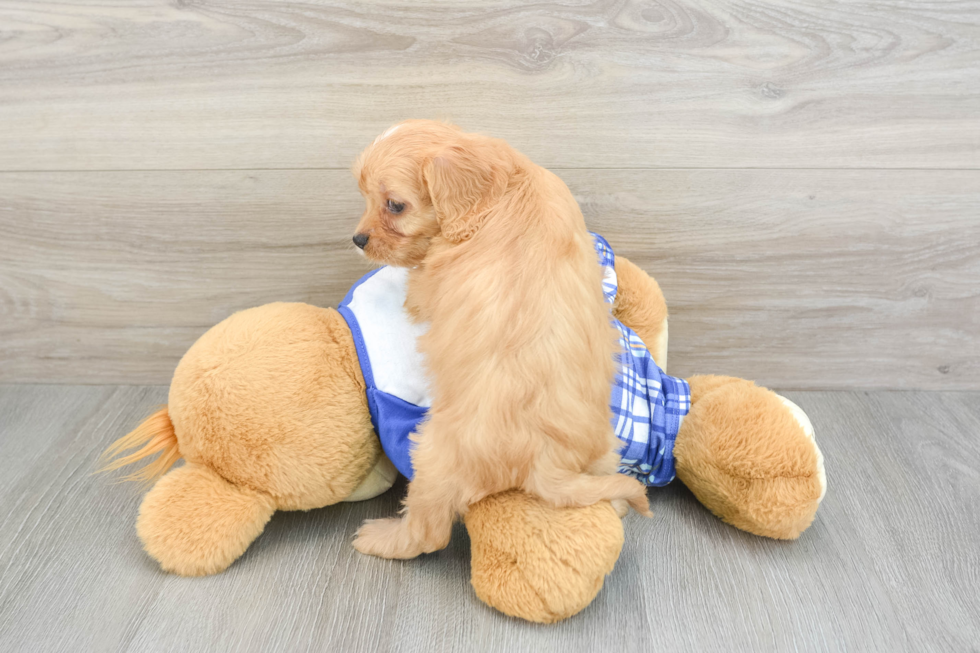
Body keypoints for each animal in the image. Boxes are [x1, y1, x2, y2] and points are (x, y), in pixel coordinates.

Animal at [348, 119, 648, 556]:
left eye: (395, 205)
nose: (358, 240)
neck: (505, 189)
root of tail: (546, 461)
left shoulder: (429, 282)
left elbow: (415, 289)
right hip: (605, 447)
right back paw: (619, 502)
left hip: (433, 453)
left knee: (429, 533)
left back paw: (382, 538)